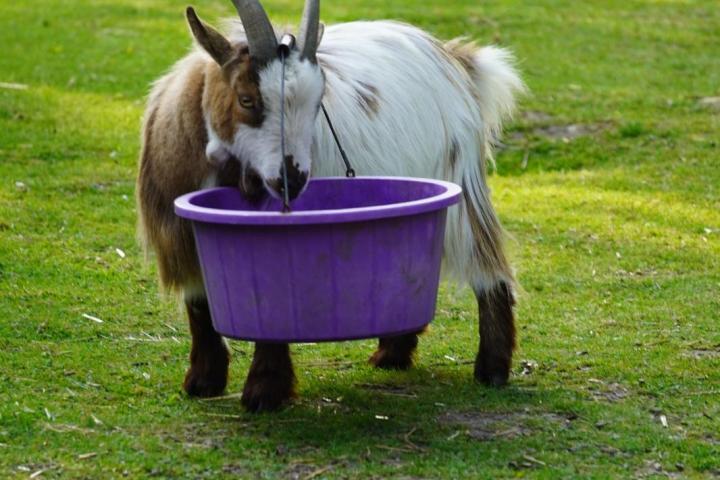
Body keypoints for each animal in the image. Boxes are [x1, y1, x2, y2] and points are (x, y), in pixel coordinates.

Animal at [137, 0, 524, 412]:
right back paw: (392, 354)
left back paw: (492, 369)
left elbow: (274, 313)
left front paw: (264, 391)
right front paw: (203, 381)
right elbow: (199, 305)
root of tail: (454, 58)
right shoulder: (180, 233)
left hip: (459, 185)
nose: (291, 179)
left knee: (489, 267)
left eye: (316, 105)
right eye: (247, 100)